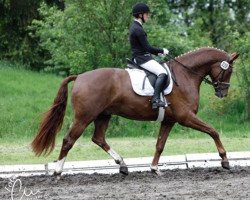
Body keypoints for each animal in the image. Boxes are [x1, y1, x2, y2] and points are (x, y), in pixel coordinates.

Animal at [32, 47, 239, 175]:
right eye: (228, 71)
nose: (222, 93)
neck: (185, 74)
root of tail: (80, 76)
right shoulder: (185, 117)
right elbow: (213, 131)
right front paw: (225, 160)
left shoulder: (169, 120)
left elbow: (160, 145)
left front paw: (154, 168)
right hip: (84, 117)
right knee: (69, 140)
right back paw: (58, 171)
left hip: (103, 115)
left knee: (98, 138)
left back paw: (123, 165)